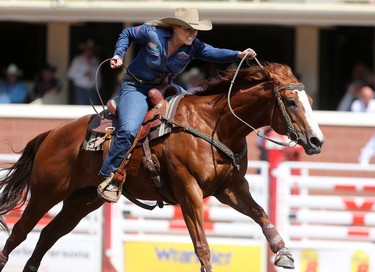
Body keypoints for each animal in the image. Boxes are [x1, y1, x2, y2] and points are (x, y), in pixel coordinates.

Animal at [0, 62, 324, 272]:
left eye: (309, 100)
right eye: (291, 102)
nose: (316, 140)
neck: (213, 125)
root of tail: (52, 134)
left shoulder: (230, 188)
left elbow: (261, 213)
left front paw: (283, 253)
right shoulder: (188, 190)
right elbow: (202, 245)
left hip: (82, 201)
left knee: (48, 235)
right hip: (46, 193)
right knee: (20, 232)